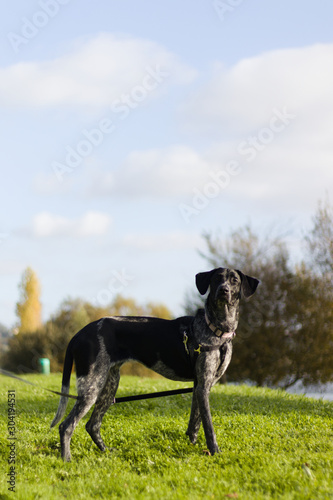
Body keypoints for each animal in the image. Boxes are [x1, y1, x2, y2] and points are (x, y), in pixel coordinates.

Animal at [50, 270, 258, 460]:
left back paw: (106, 451)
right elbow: (209, 425)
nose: (224, 290)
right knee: (66, 426)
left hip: (108, 386)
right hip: (91, 387)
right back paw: (66, 459)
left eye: (234, 280)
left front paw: (194, 444)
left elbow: (195, 422)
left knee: (92, 425)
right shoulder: (203, 386)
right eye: (216, 279)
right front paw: (214, 451)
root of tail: (78, 334)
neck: (216, 329)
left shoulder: (200, 386)